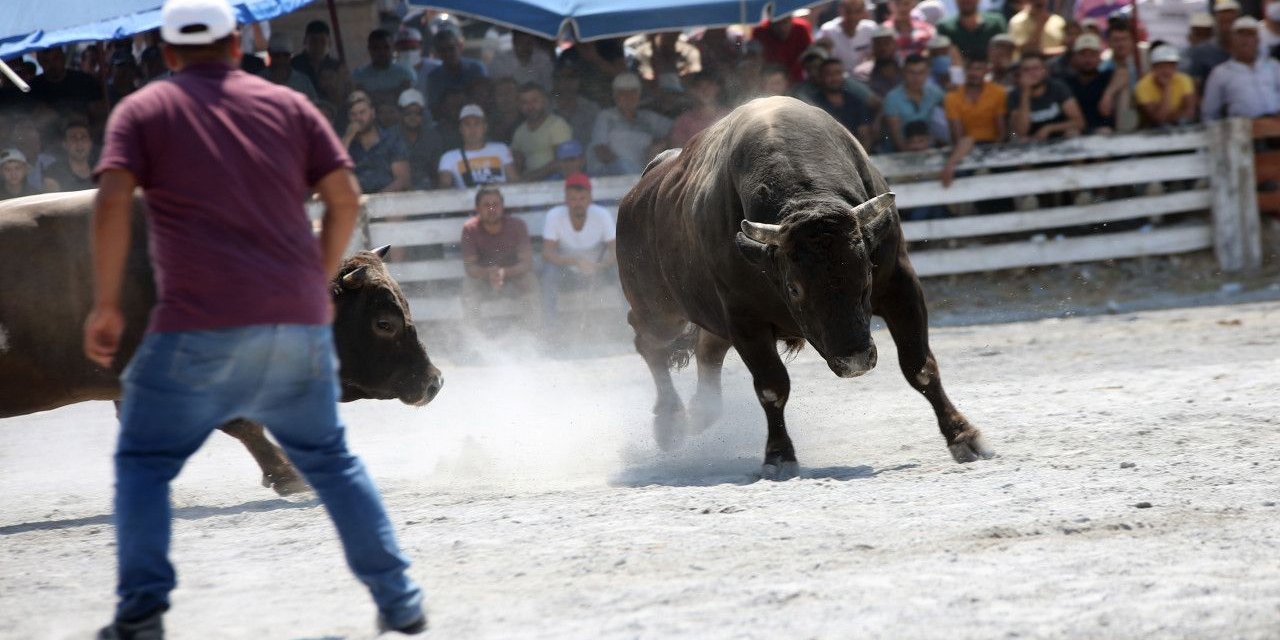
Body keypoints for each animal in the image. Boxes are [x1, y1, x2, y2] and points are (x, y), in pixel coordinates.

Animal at [614, 96, 993, 481]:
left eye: (866, 276)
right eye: (794, 289)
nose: (854, 360)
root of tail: (638, 195)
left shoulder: (900, 286)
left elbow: (920, 366)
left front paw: (963, 436)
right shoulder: (744, 319)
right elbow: (771, 386)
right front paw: (779, 456)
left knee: (708, 349)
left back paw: (701, 413)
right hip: (660, 312)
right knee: (648, 343)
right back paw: (670, 422)